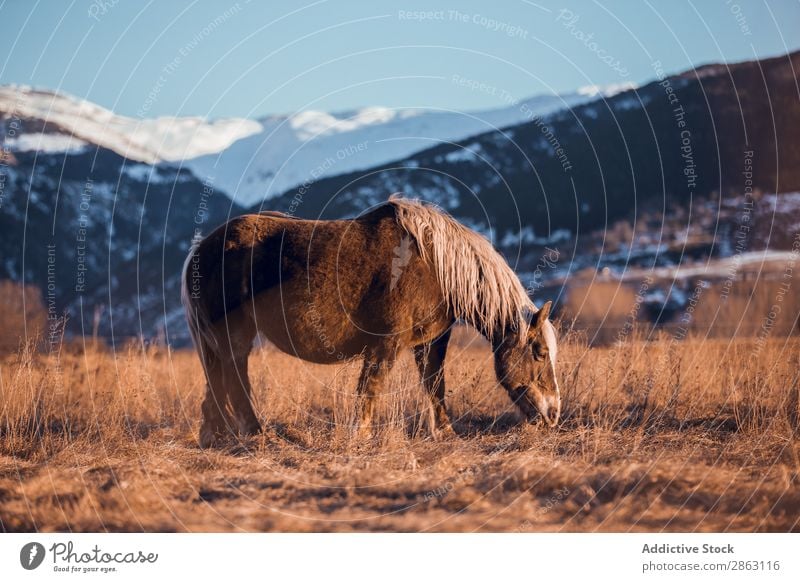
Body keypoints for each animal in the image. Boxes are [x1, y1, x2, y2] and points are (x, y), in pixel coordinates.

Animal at [182, 196, 560, 448]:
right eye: (540, 352)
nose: (554, 414)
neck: (436, 265)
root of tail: (199, 252)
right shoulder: (386, 343)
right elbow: (371, 388)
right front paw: (361, 434)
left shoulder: (431, 341)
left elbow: (434, 385)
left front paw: (444, 431)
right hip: (235, 338)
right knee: (235, 381)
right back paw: (256, 434)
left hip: (216, 343)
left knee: (216, 385)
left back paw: (217, 436)